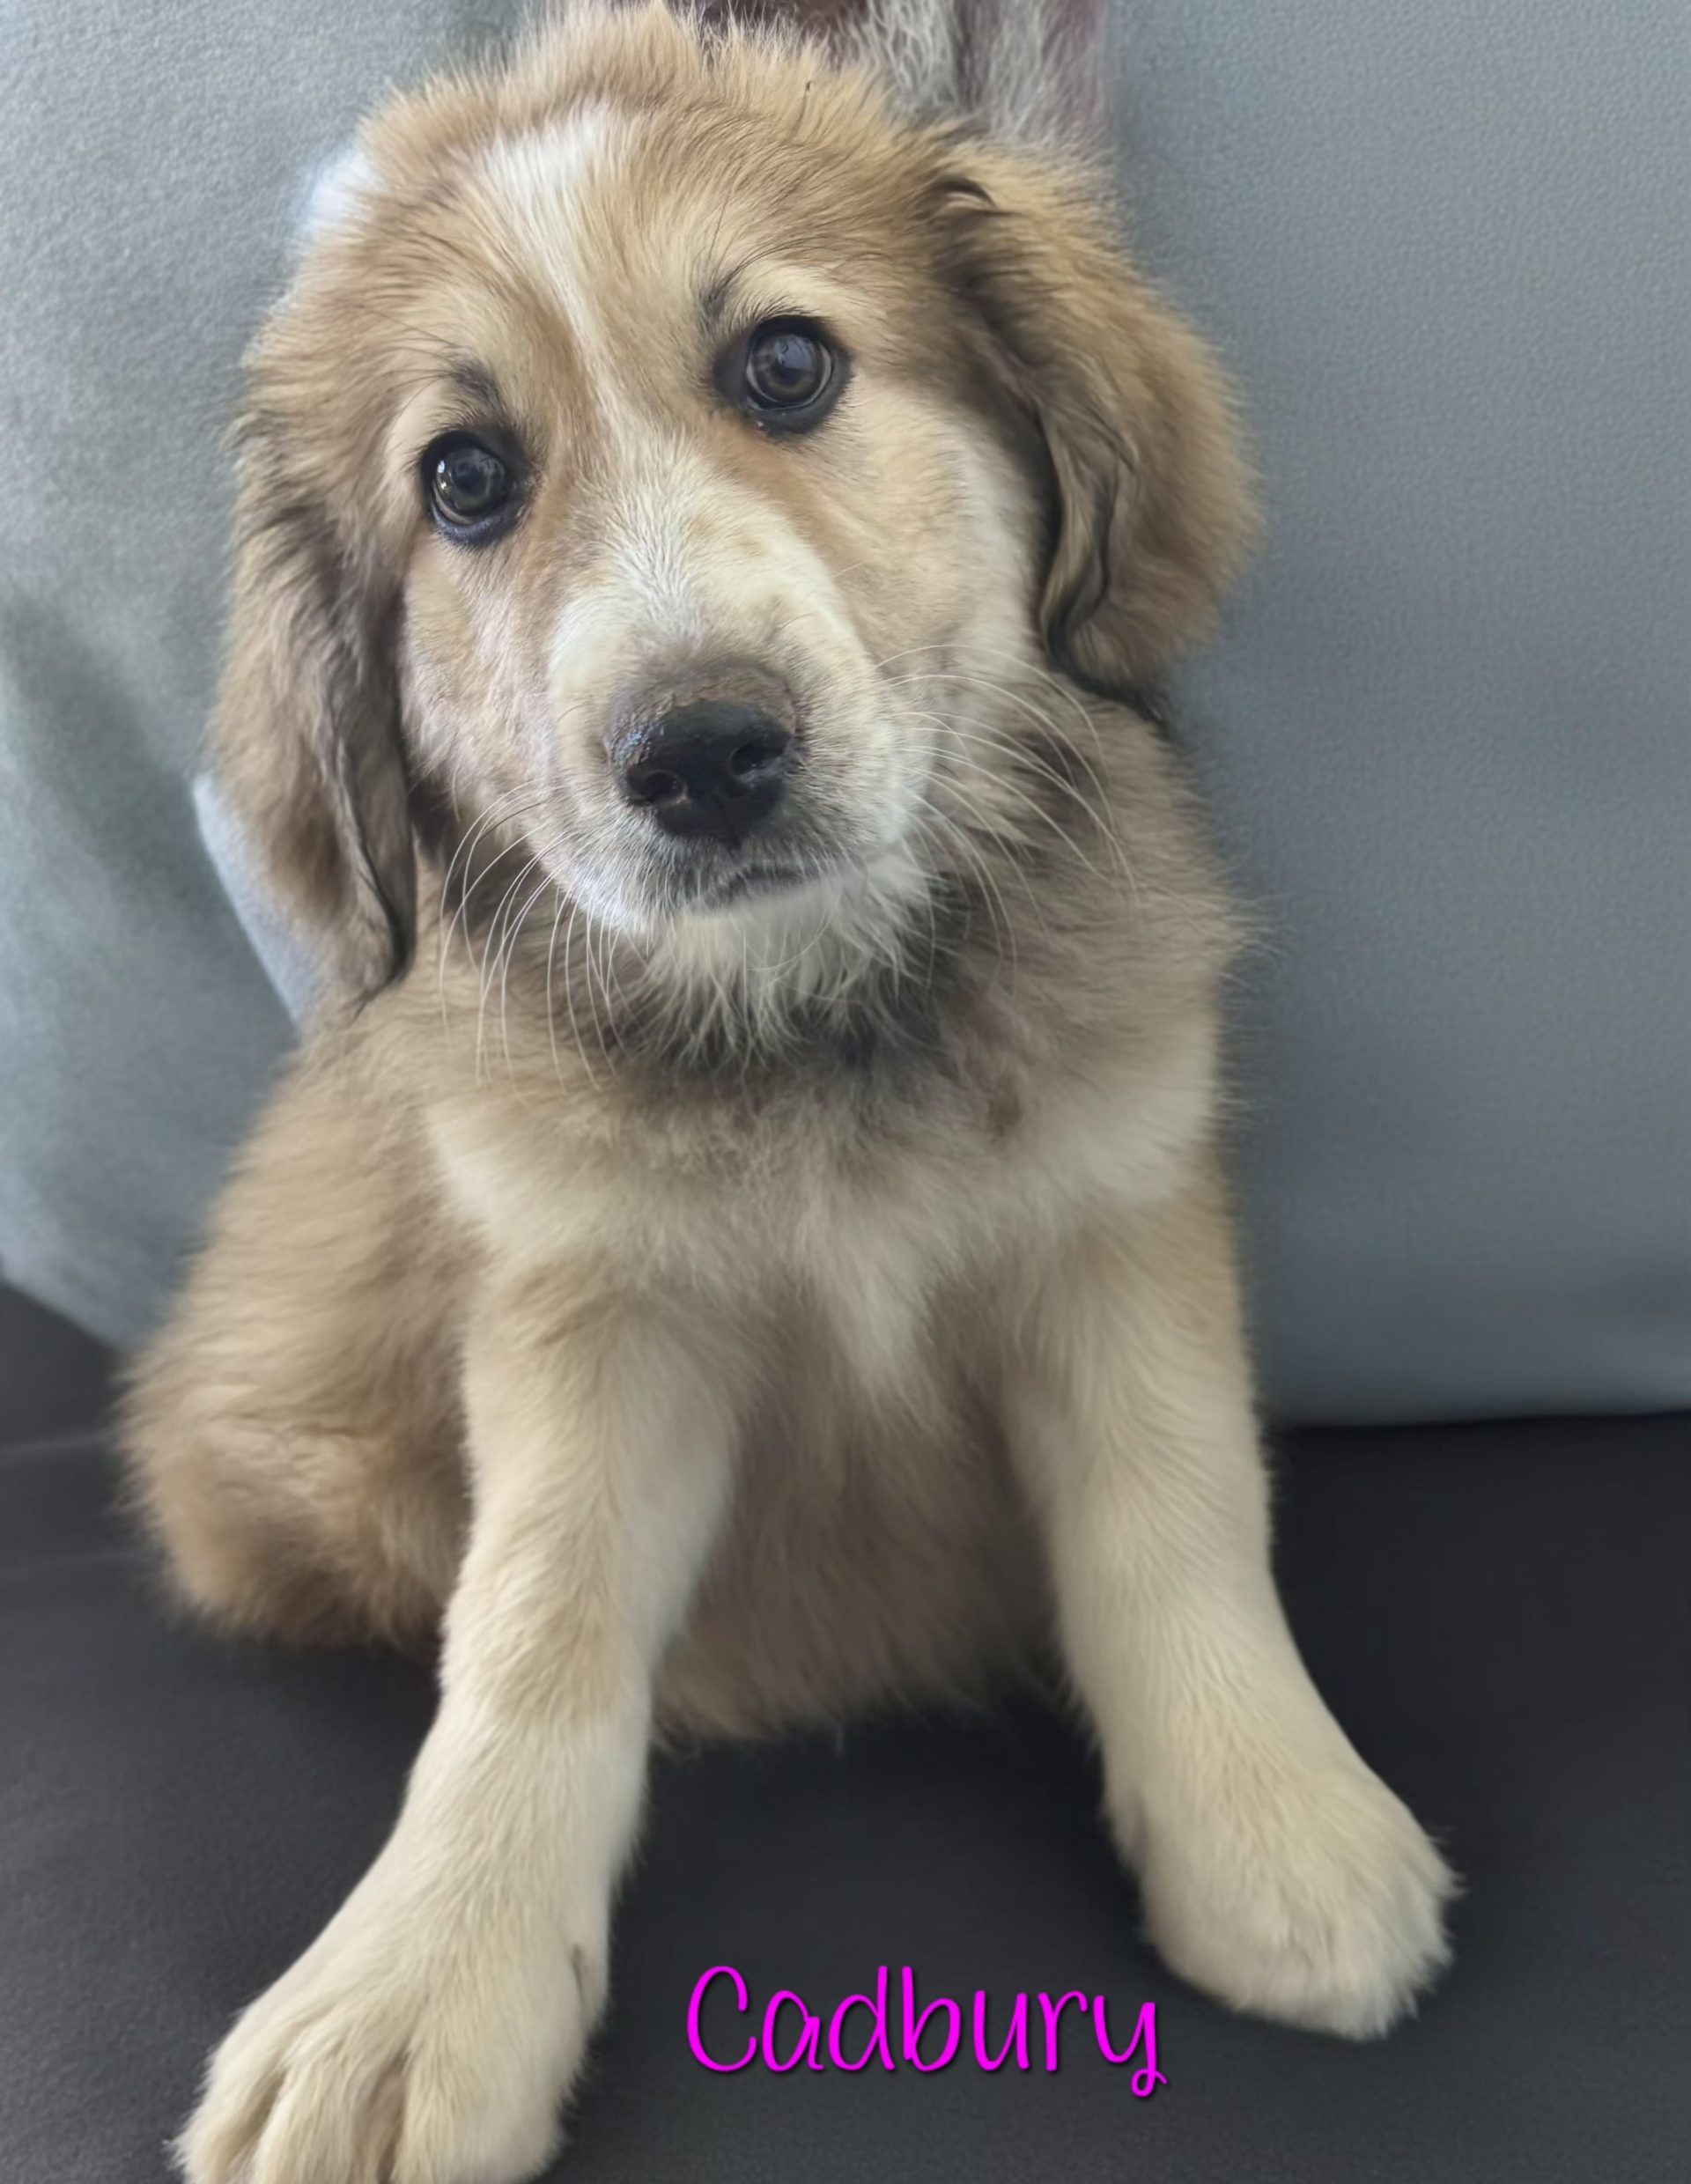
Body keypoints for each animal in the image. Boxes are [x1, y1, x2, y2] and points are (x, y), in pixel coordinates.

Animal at [122, 5, 1454, 2177]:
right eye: (465, 478)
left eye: (785, 365)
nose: (701, 756)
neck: (816, 1011)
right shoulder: (583, 1312)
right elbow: (532, 1632)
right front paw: (417, 1991)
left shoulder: (1116, 1211)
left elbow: (1179, 1519)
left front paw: (1273, 1829)